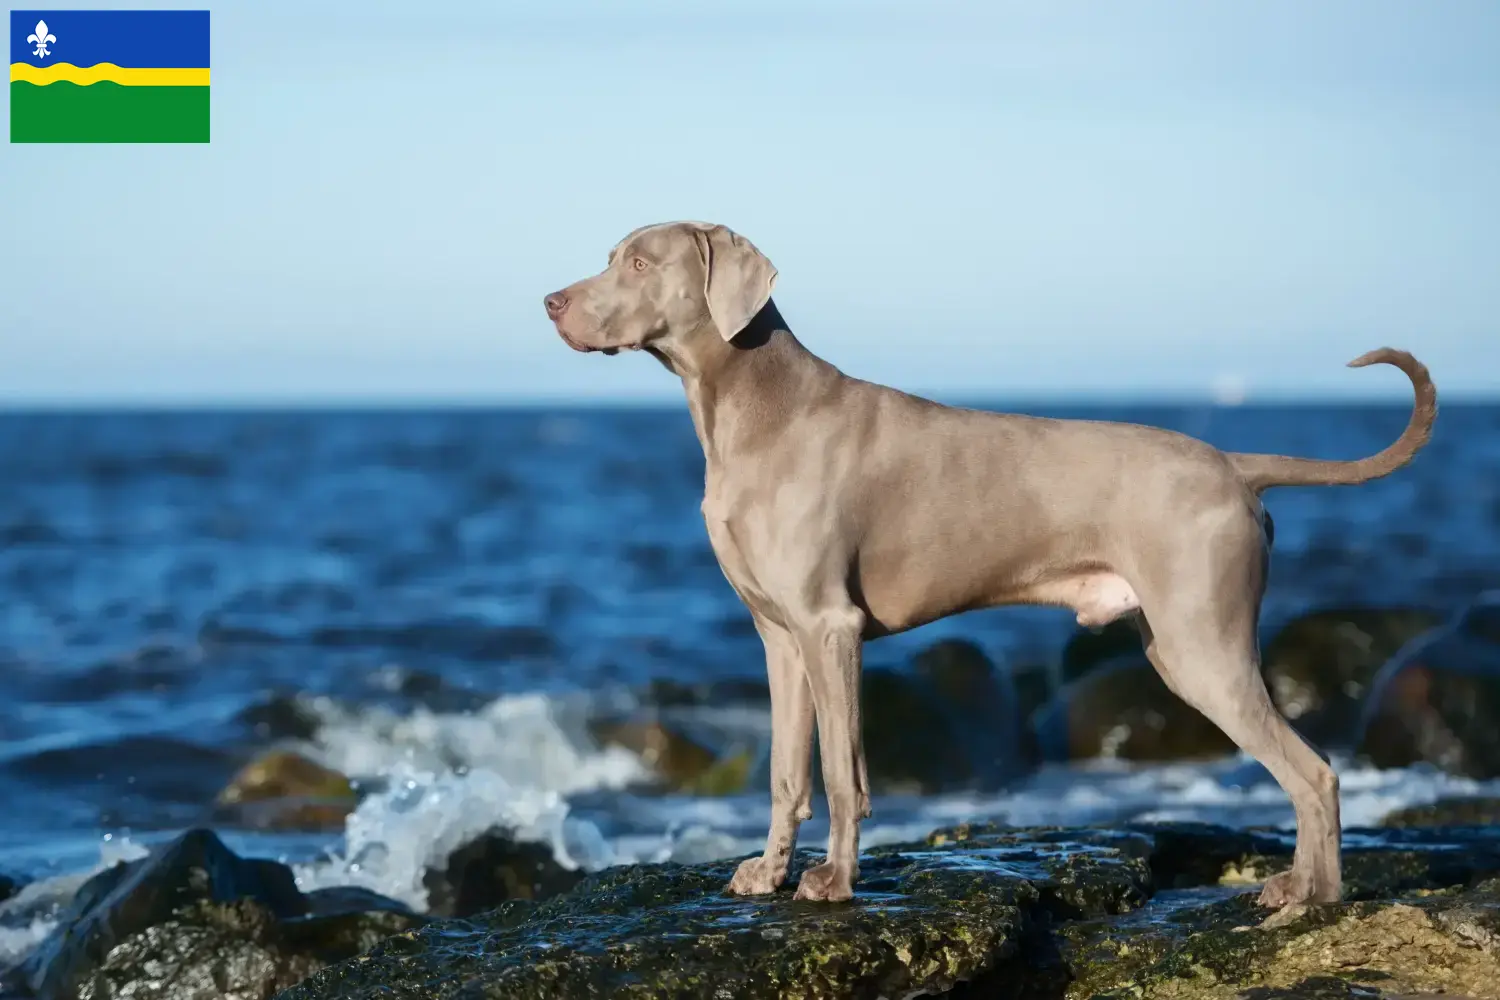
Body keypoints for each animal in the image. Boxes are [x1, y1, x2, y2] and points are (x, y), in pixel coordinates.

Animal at [546, 223, 1434, 911]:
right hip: (1179, 643)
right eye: (612, 255)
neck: (749, 408)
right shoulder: (779, 637)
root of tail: (1232, 464)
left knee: (1314, 772)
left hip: (1201, 645)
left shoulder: (830, 628)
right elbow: (784, 772)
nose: (552, 302)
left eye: (638, 262)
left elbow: (840, 769)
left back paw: (1312, 897)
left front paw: (833, 882)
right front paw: (768, 873)